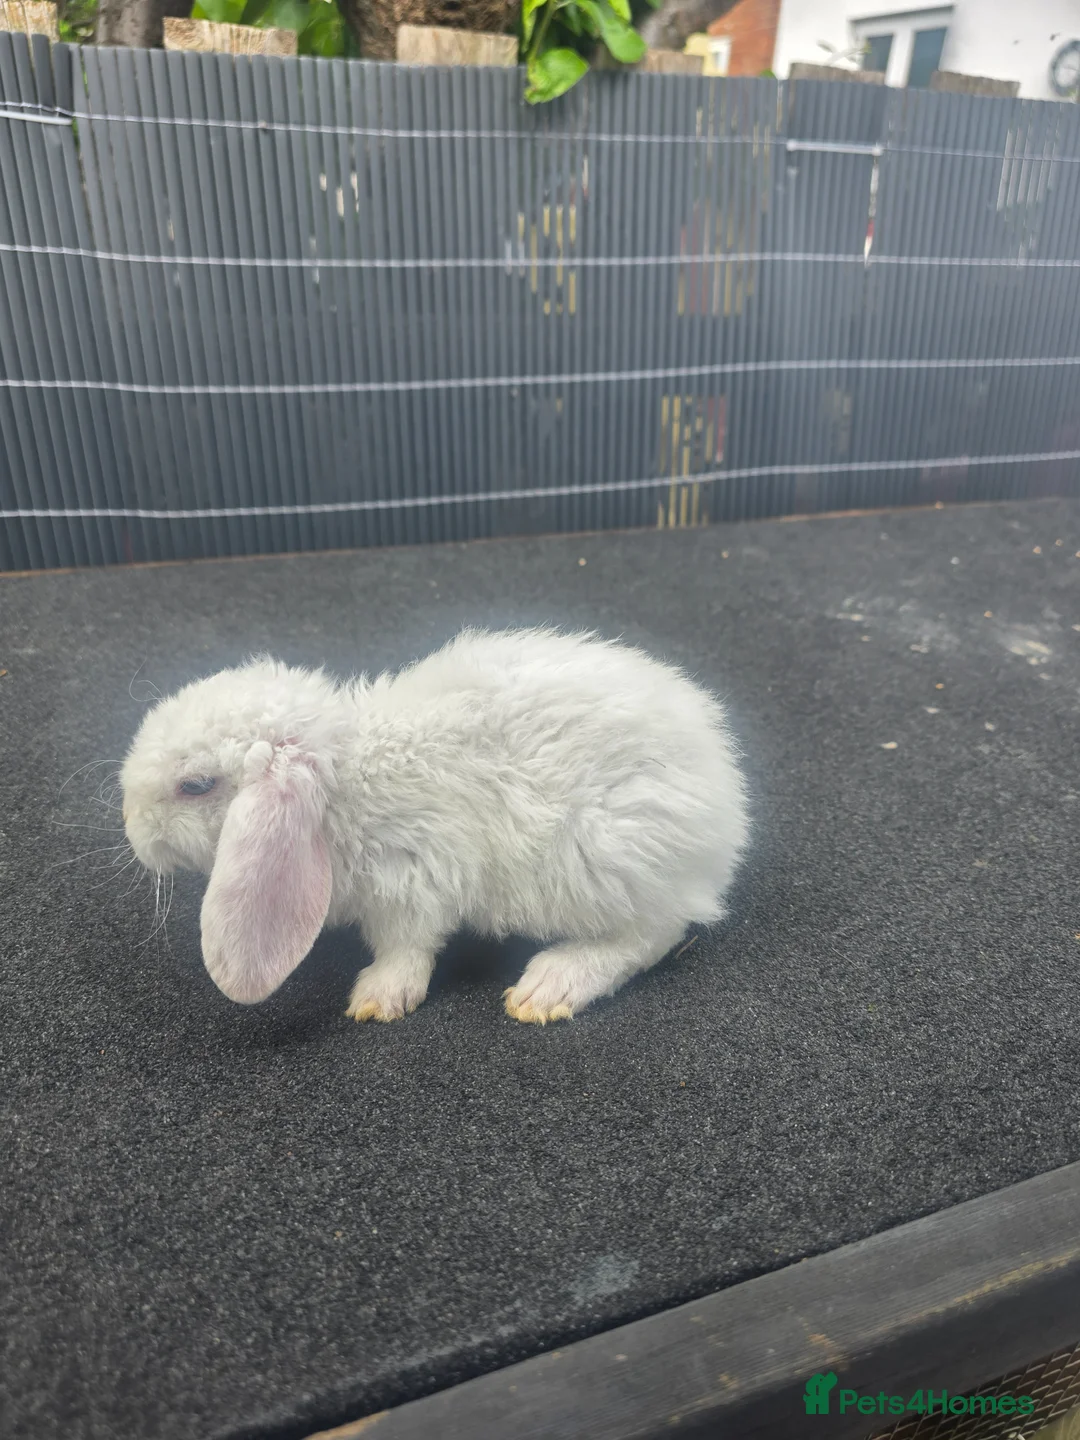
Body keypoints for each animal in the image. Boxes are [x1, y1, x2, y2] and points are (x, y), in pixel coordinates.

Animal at [120, 627, 749, 1023]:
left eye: (195, 785)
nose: (132, 828)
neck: (343, 786)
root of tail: (726, 819)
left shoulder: (412, 876)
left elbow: (407, 945)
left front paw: (378, 998)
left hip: (601, 856)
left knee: (651, 935)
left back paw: (550, 986)